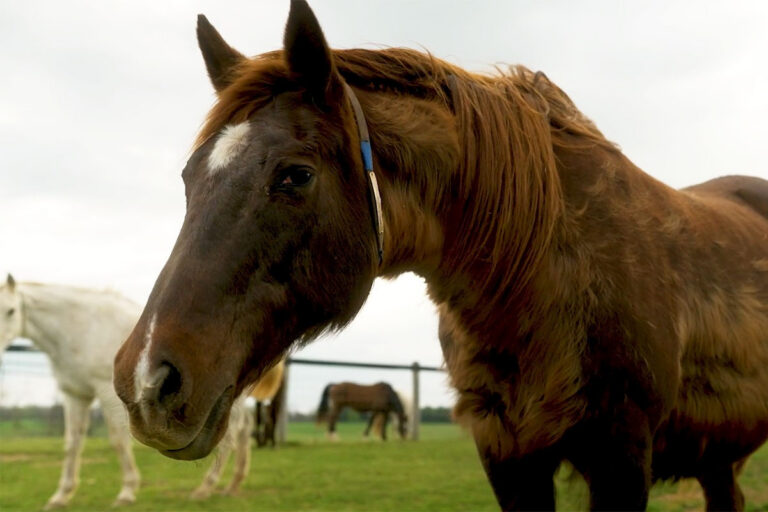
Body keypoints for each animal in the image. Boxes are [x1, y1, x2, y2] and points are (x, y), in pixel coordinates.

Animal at [0, 275, 141, 509]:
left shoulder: (107, 391)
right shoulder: (75, 394)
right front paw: (61, 496)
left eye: (11, 310)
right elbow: (72, 443)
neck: (82, 328)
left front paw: (127, 493)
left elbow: (119, 440)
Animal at [112, 2, 768, 510]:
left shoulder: (621, 456)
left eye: (295, 175)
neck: (548, 281)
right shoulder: (507, 454)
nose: (146, 383)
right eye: (189, 178)